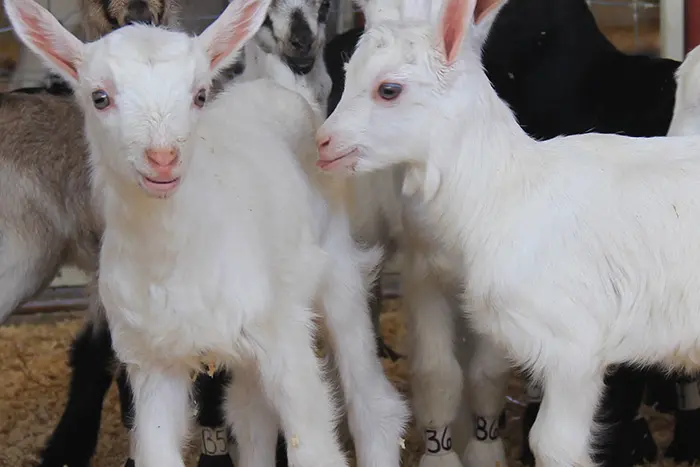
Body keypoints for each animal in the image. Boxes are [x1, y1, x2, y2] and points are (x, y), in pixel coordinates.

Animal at [4, 2, 409, 467]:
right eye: (99, 97)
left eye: (199, 94)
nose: (163, 158)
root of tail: (277, 89)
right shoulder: (152, 362)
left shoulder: (285, 336)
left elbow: (314, 448)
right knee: (251, 415)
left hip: (336, 269)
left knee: (372, 404)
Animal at [317, 0, 700, 465]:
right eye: (344, 72)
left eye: (388, 90)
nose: (323, 142)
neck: (505, 193)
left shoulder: (574, 348)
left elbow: (552, 443)